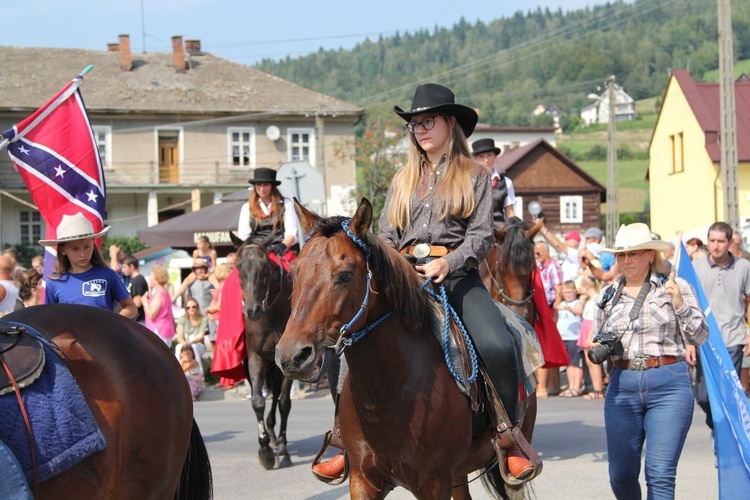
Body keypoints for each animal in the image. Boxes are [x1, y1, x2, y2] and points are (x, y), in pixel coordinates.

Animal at [231, 232, 296, 470]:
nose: (252, 310)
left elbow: (284, 403)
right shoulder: (255, 358)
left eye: (265, 267)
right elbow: (258, 401)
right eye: (238, 266)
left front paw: (283, 449)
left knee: (277, 395)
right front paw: (265, 451)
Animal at [276, 199, 540, 500]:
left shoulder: (433, 484)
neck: (389, 390)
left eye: (345, 275)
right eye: (294, 271)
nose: (292, 356)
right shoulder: (363, 481)